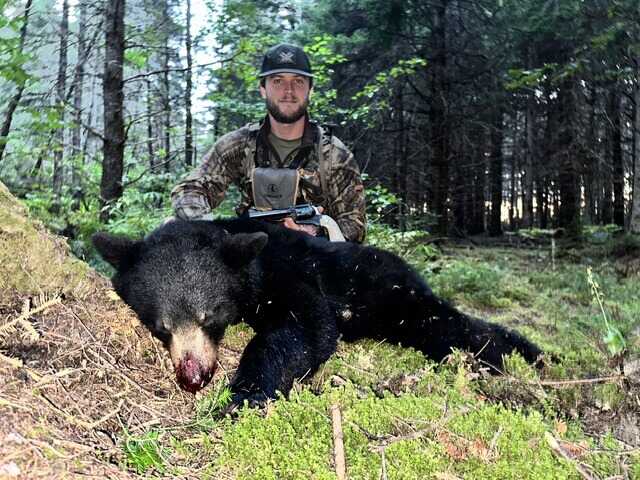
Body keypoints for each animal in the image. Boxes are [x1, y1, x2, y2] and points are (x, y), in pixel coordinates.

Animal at [93, 218, 542, 408]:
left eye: (210, 317)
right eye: (161, 327)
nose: (193, 376)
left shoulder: (288, 274)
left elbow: (306, 327)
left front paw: (243, 395)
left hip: (392, 294)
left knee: (448, 325)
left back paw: (525, 356)